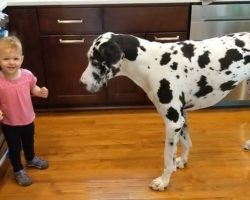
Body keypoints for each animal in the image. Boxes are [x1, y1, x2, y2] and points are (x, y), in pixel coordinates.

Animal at [80, 32, 250, 191]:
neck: (151, 62)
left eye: (94, 61)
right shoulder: (182, 117)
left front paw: (164, 181)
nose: (81, 83)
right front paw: (183, 160)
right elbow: (186, 142)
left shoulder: (173, 122)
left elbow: (168, 158)